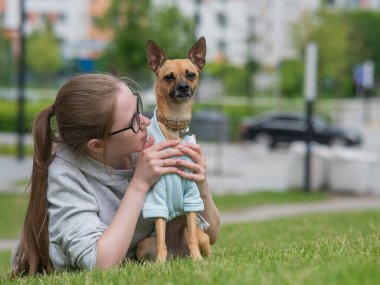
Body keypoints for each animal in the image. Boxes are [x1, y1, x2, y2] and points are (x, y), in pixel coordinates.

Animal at [136, 36, 211, 260]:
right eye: (169, 77)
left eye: (191, 74)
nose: (183, 87)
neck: (175, 126)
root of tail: (177, 255)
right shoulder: (157, 195)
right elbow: (161, 236)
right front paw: (160, 263)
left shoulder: (191, 194)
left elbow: (192, 233)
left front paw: (197, 260)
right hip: (142, 245)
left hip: (201, 236)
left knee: (197, 237)